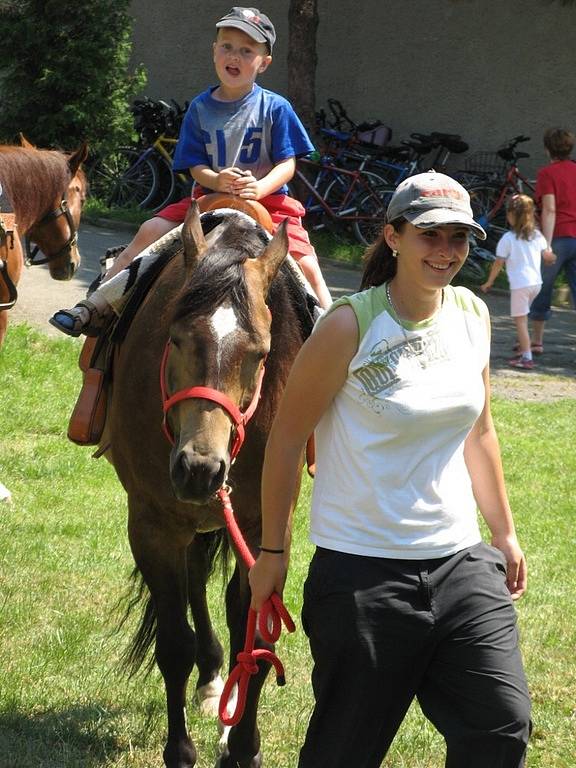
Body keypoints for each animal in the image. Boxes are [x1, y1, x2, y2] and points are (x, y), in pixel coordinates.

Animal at [101, 201, 312, 764]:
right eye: (175, 338)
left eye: (260, 353)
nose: (200, 467)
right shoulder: (153, 525)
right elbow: (174, 645)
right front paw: (181, 750)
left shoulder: (265, 529)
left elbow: (256, 637)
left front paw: (244, 748)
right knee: (194, 582)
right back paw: (212, 673)